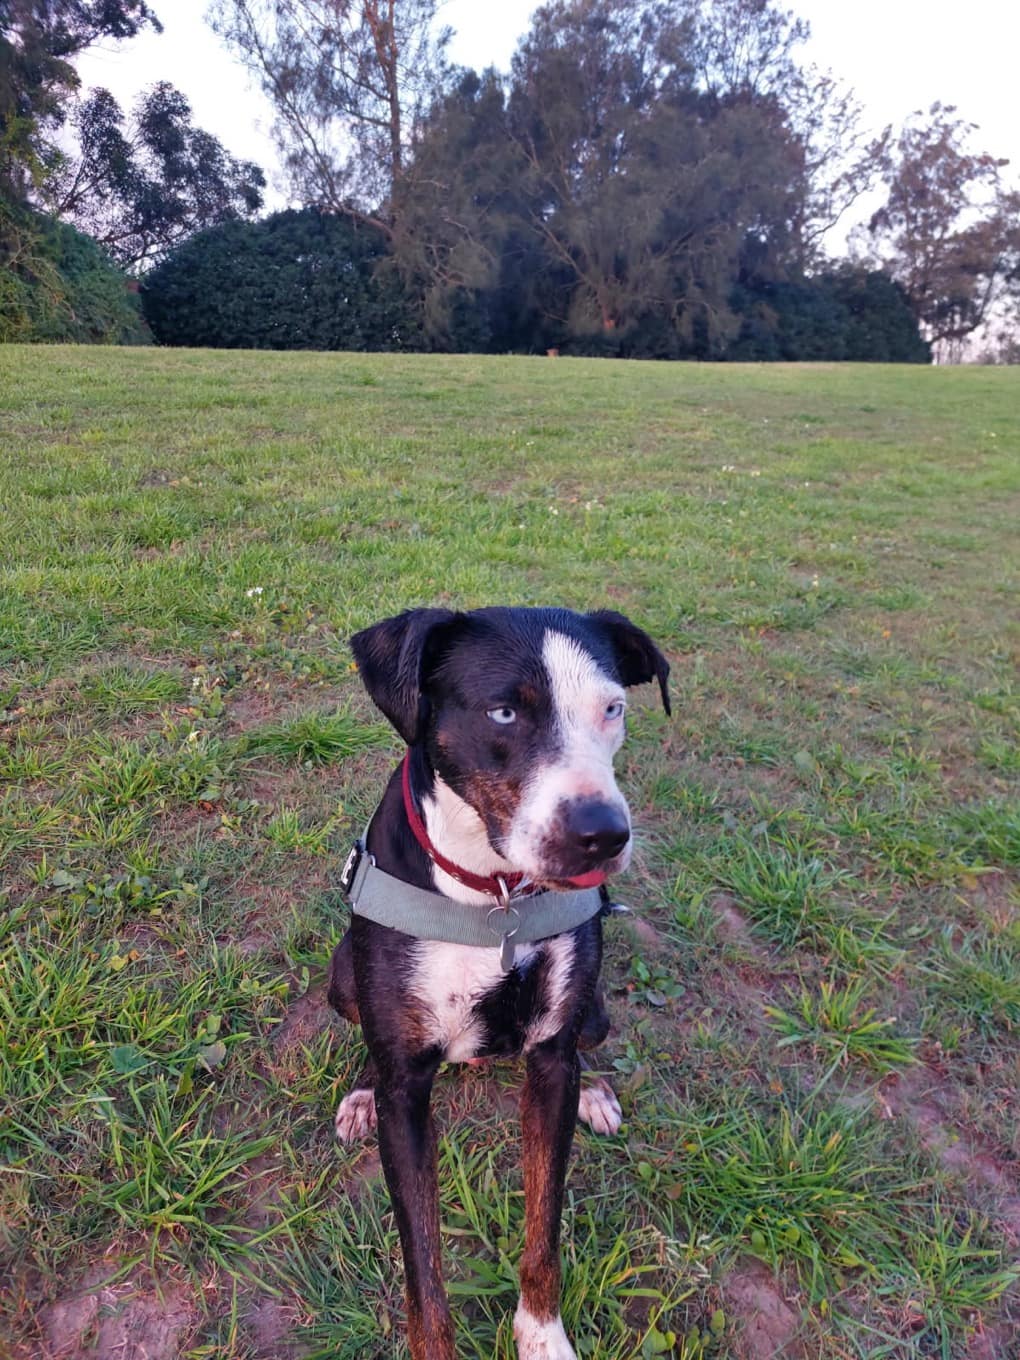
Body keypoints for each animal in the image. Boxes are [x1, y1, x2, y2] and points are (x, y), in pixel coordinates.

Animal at [327, 606, 670, 1360]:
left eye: (613, 709)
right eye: (505, 712)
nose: (604, 835)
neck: (495, 895)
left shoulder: (549, 1059)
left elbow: (544, 1229)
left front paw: (542, 1337)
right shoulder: (407, 1095)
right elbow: (423, 1273)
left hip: (593, 1013)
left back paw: (595, 1092)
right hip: (342, 979)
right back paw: (361, 1095)